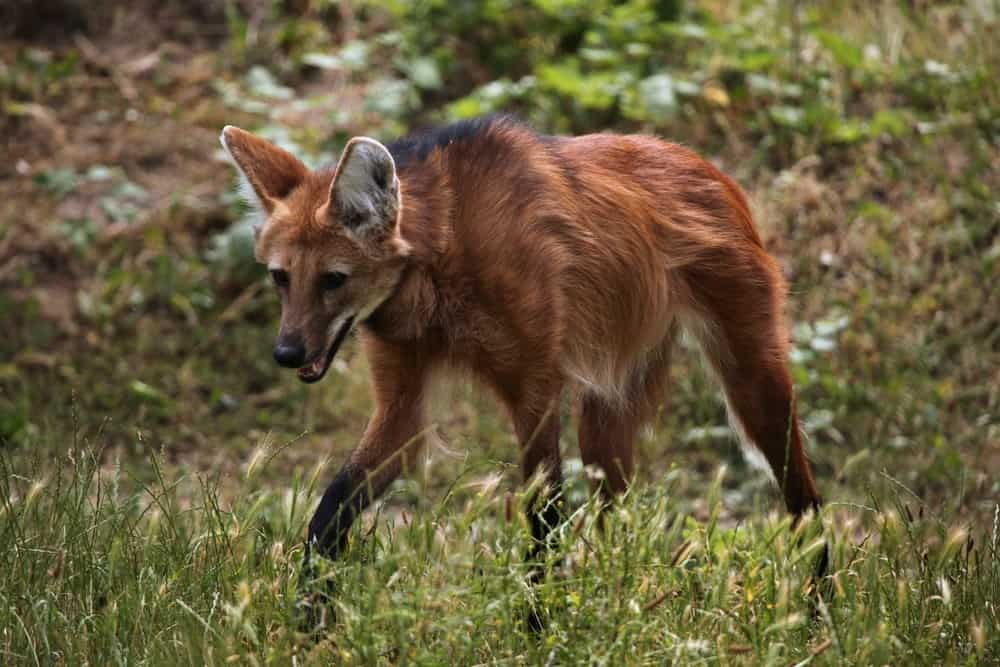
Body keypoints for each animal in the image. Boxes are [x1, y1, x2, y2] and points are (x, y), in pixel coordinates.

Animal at [219, 115, 820, 616]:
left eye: (333, 279)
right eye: (280, 277)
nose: (286, 353)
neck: (441, 259)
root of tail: (709, 167)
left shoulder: (533, 385)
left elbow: (543, 517)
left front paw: (539, 627)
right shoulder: (404, 398)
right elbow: (333, 506)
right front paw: (306, 617)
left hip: (750, 375)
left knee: (804, 497)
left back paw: (815, 608)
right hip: (606, 406)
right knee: (615, 512)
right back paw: (613, 602)